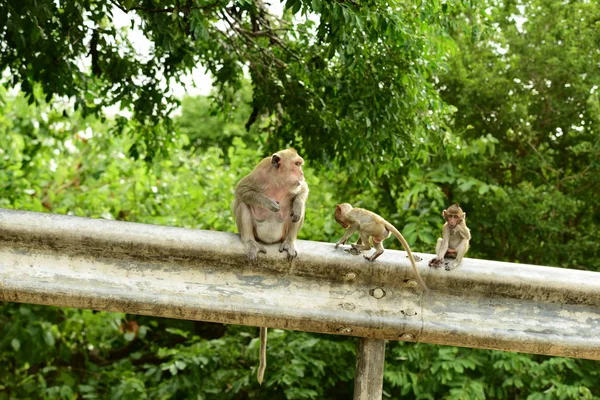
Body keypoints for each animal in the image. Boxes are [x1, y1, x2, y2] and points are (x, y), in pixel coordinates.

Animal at [232, 148, 310, 386]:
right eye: (297, 164)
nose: (302, 172)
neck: (278, 182)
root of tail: (268, 241)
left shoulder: (296, 185)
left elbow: (302, 191)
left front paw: (297, 202)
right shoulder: (258, 175)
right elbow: (242, 190)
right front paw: (267, 203)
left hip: (282, 234)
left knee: (295, 213)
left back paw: (290, 242)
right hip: (255, 233)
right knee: (242, 204)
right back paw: (250, 243)